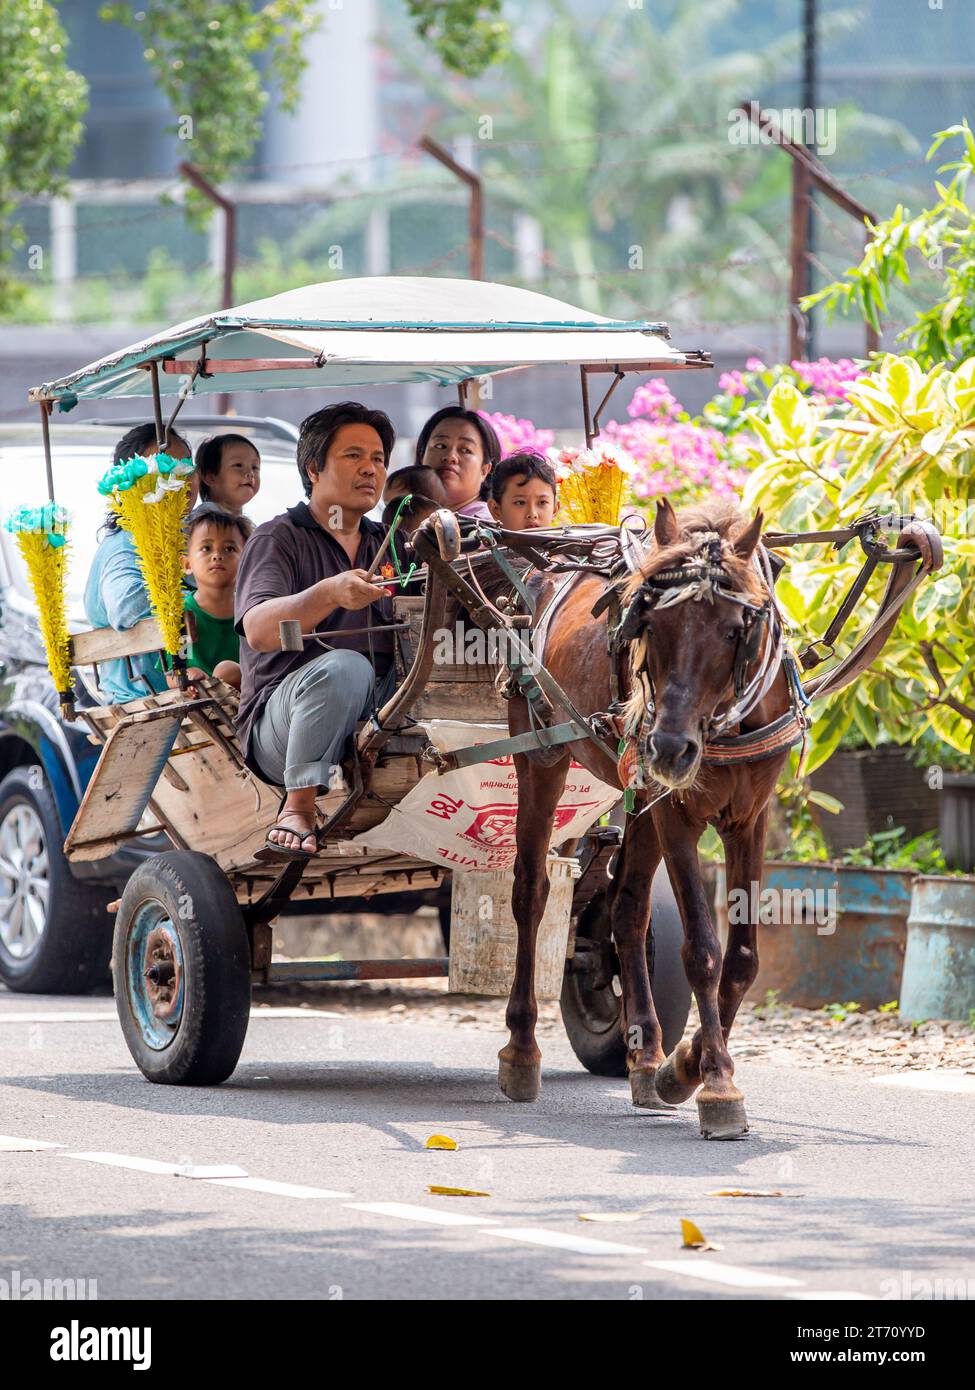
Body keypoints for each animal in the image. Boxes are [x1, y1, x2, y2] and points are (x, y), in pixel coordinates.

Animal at [495, 500, 790, 1139]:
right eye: (650, 626)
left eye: (735, 631)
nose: (669, 748)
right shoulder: (675, 812)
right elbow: (702, 949)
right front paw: (717, 1084)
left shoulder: (749, 816)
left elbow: (743, 959)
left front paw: (685, 1066)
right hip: (541, 754)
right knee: (530, 893)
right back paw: (522, 1050)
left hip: (636, 794)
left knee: (627, 910)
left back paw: (647, 1055)